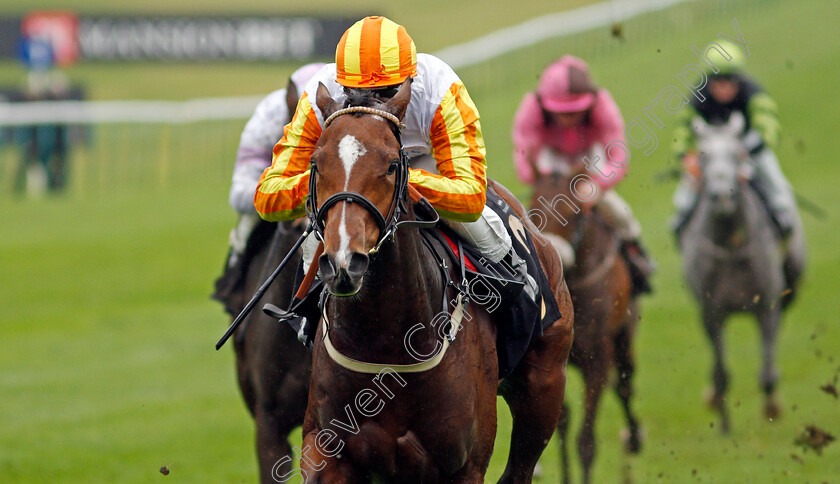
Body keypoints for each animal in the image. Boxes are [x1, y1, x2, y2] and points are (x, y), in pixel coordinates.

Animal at [292, 81, 576, 482]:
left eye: (392, 165)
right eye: (316, 163)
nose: (343, 262)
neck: (386, 345)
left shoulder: (464, 463)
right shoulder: (326, 449)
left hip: (544, 386)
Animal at [532, 169, 644, 484]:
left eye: (575, 213)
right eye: (532, 202)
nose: (551, 255)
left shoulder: (598, 359)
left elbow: (586, 440)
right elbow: (559, 424)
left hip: (624, 337)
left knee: (625, 385)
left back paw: (634, 437)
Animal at [680, 114, 804, 434]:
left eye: (737, 154)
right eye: (703, 156)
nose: (720, 197)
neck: (730, 246)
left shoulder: (766, 306)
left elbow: (767, 374)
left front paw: (772, 410)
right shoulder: (712, 312)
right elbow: (721, 373)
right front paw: (724, 424)